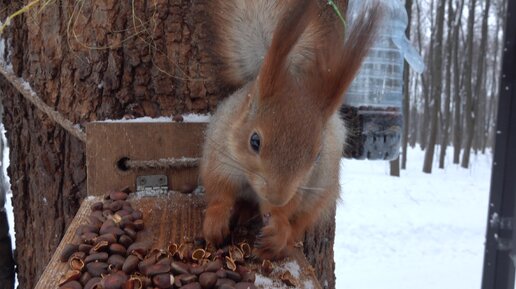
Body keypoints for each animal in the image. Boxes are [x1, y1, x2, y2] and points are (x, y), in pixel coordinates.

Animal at [200, 0, 380, 258]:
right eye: (254, 141)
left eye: (316, 155)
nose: (277, 197)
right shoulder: (219, 155)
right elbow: (219, 191)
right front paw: (215, 222)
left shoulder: (302, 184)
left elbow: (288, 209)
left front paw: (277, 226)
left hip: (322, 191)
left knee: (302, 221)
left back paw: (279, 241)